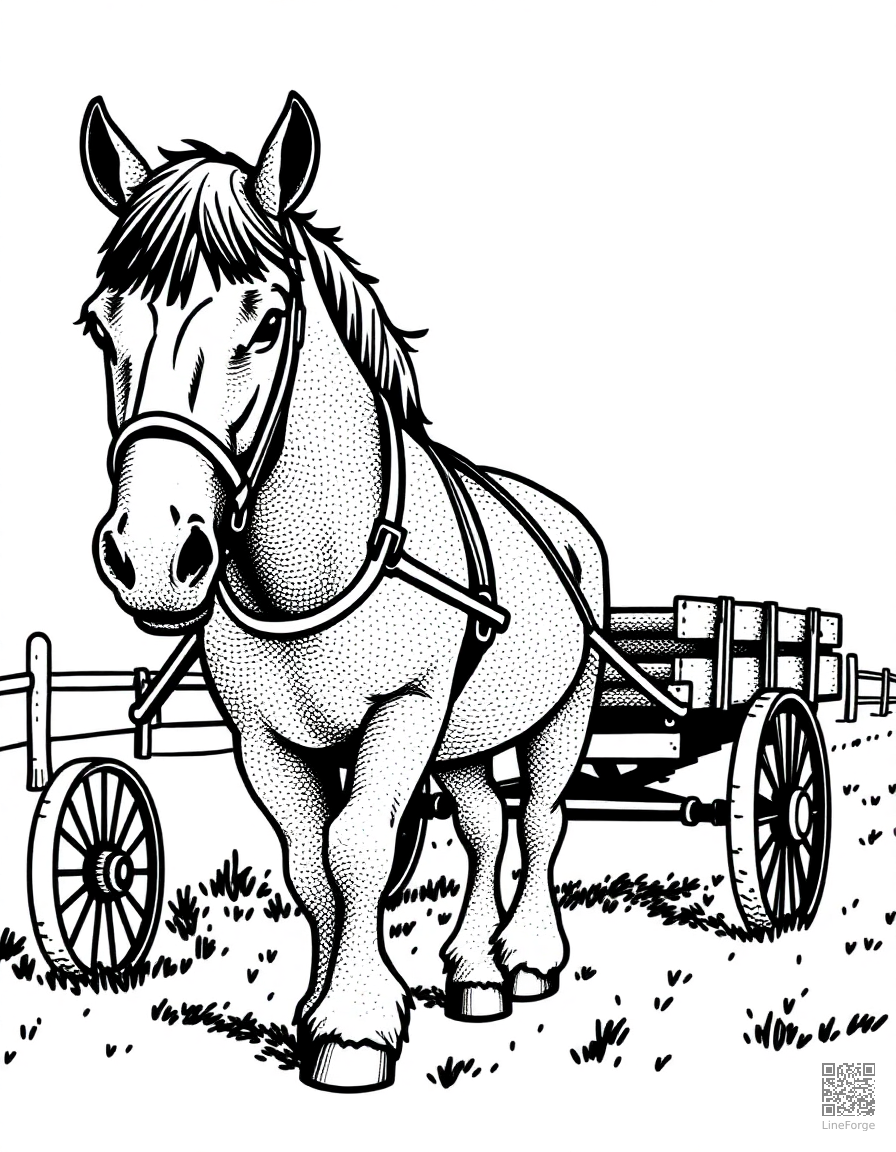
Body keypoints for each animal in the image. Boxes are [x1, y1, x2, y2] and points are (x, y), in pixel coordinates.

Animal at [78, 92, 609, 1091]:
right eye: (101, 327)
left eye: (266, 323)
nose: (155, 554)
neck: (308, 570)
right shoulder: (264, 737)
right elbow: (308, 864)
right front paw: (321, 1012)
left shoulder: (405, 705)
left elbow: (359, 846)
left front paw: (358, 1027)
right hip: (463, 737)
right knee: (483, 824)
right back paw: (474, 973)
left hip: (560, 711)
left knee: (541, 821)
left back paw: (528, 957)